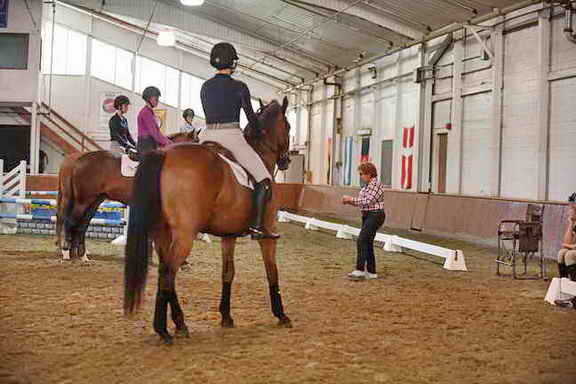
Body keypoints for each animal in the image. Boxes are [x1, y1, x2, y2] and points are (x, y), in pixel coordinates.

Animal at [56, 130, 196, 260]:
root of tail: (78, 160)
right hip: (82, 201)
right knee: (69, 221)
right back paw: (66, 252)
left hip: (94, 201)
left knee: (82, 225)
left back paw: (81, 254)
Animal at [123, 97, 290, 344]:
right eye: (288, 126)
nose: (286, 160)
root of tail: (164, 154)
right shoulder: (268, 233)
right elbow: (272, 271)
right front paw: (281, 314)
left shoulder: (229, 236)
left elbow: (228, 273)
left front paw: (226, 317)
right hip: (185, 235)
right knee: (168, 273)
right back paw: (163, 330)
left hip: (162, 232)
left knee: (166, 271)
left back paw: (180, 324)